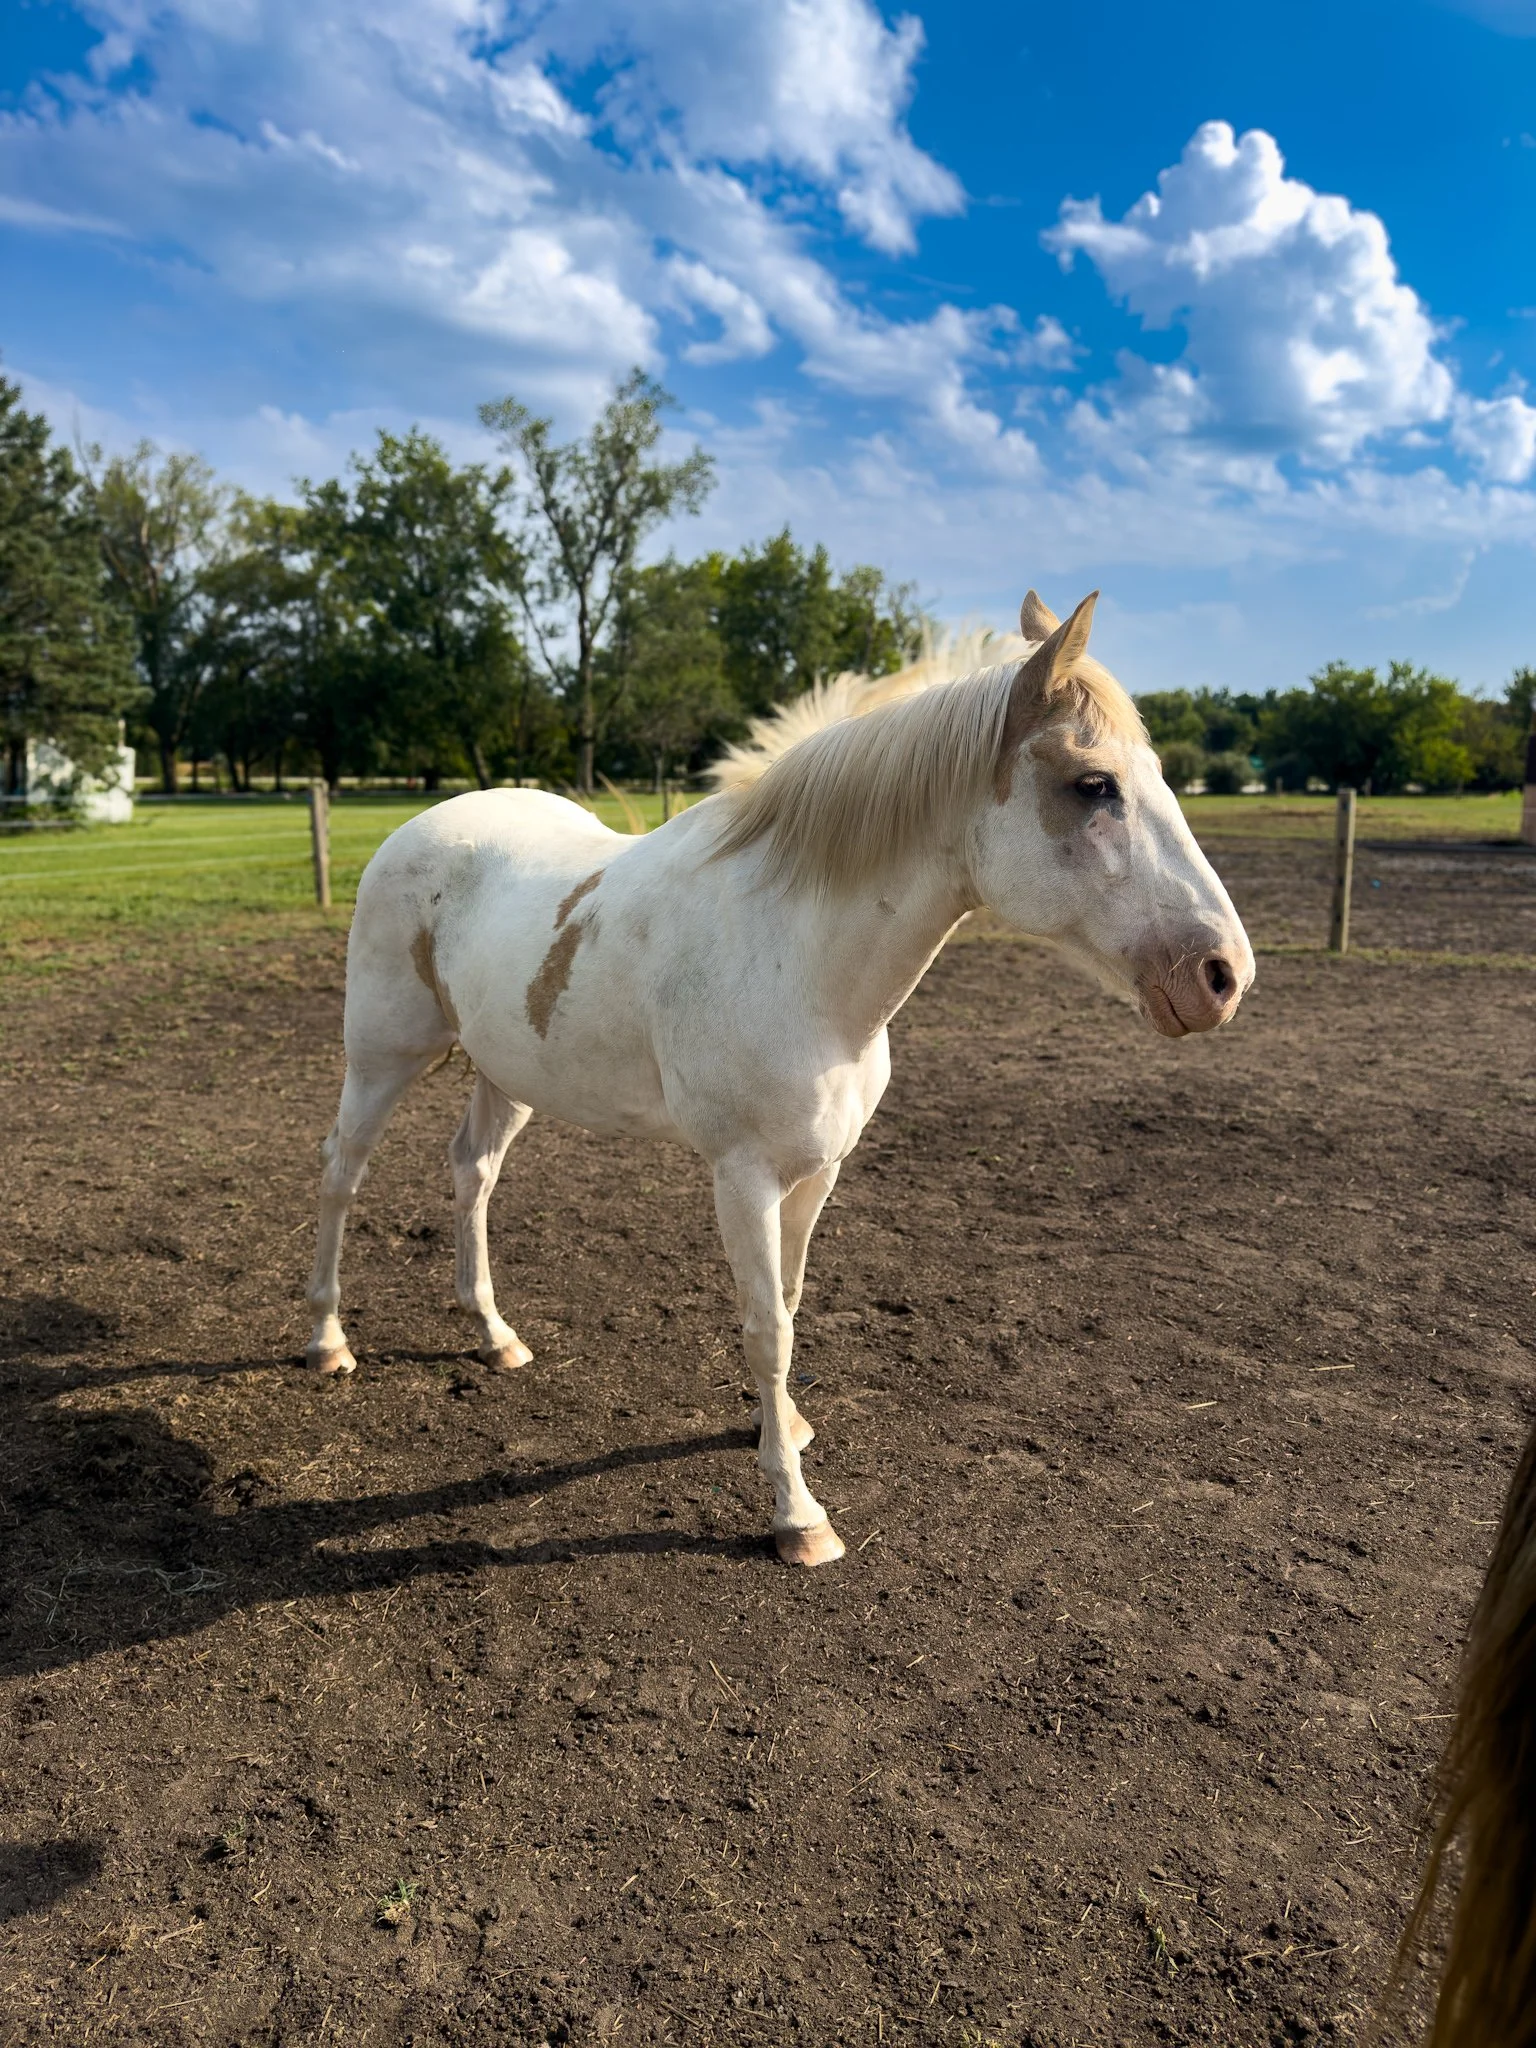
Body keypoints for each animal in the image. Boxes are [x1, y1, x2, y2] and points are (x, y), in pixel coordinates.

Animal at [303, 588, 1255, 1566]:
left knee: (473, 1174)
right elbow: (766, 1330)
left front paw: (784, 1429)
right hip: (382, 1057)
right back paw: (329, 1341)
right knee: (343, 1172)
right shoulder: (744, 1178)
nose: (1223, 975)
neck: (798, 958)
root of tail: (421, 828)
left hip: (507, 1073)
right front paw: (798, 1516)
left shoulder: (816, 1172)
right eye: (1093, 785)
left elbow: (791, 1308)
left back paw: (495, 1337)